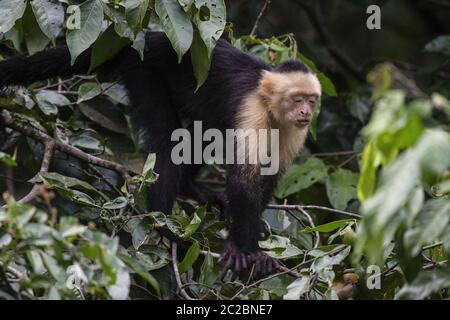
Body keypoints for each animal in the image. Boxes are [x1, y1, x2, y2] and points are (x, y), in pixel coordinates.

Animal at [0, 31, 320, 276]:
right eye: (297, 99)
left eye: (311, 100)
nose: (306, 112)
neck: (271, 108)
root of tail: (148, 37)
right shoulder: (252, 110)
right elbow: (244, 180)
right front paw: (247, 250)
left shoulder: (294, 130)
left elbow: (267, 177)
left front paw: (246, 244)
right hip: (144, 70)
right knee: (168, 140)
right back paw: (164, 224)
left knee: (205, 132)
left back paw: (188, 187)